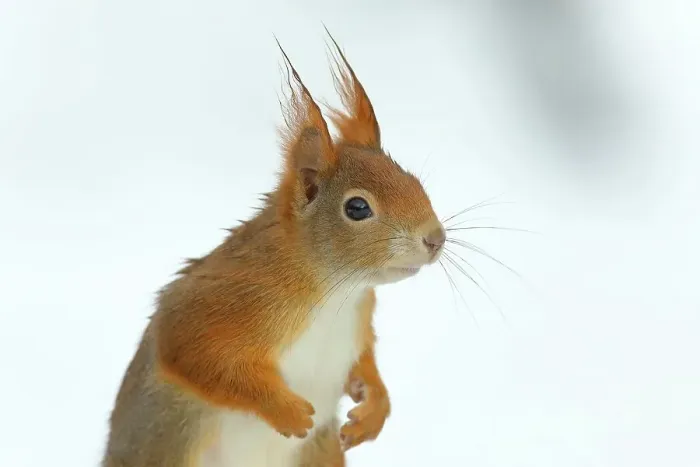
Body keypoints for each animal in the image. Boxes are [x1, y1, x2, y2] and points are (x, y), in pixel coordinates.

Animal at [101, 31, 446, 467]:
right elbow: (189, 348)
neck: (336, 289)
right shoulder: (230, 295)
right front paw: (285, 410)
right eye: (357, 208)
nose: (436, 239)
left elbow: (364, 363)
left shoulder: (361, 316)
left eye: (414, 181)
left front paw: (374, 408)